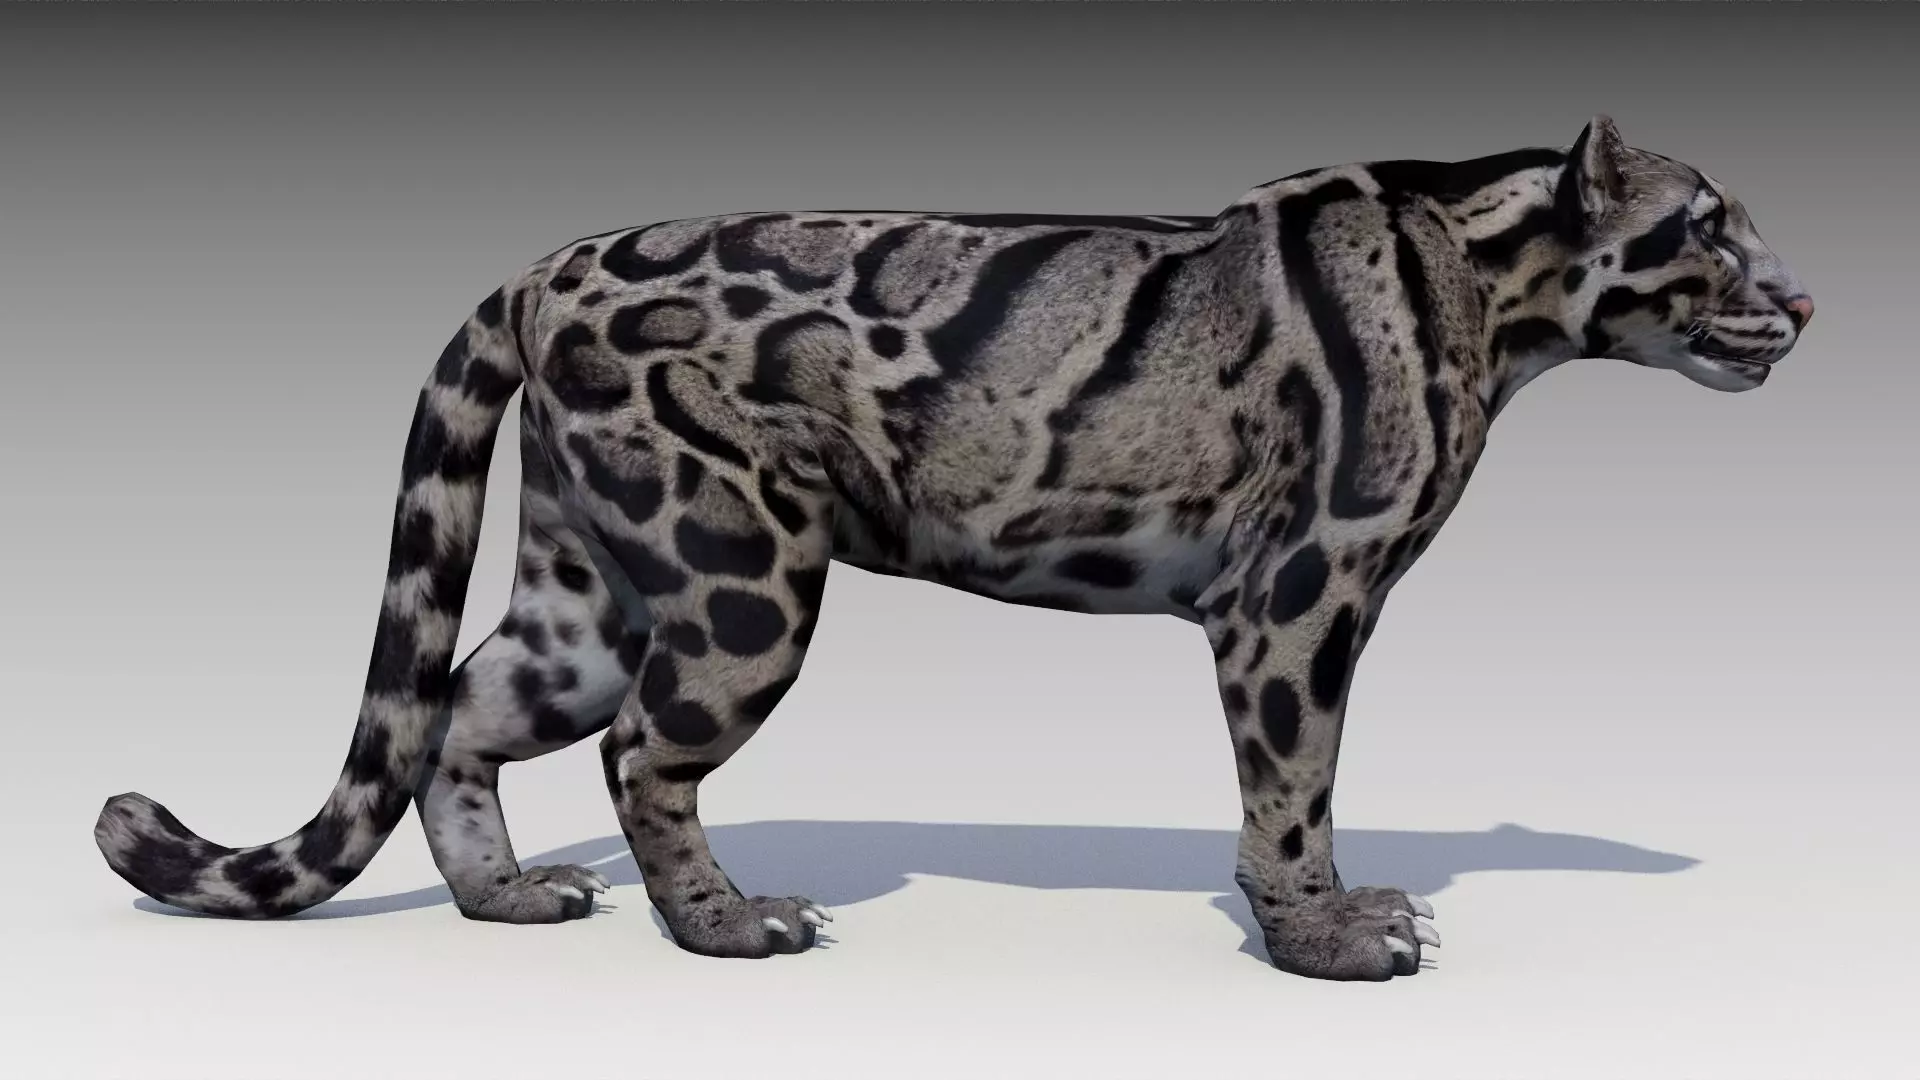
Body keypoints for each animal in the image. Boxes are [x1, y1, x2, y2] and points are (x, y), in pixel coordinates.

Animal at [94, 116, 1813, 981]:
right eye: (1710, 229)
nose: (1802, 300)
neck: (1506, 298)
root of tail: (538, 267)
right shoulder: (1297, 597)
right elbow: (1297, 783)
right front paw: (1323, 936)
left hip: (589, 581)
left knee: (460, 703)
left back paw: (506, 903)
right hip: (738, 579)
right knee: (640, 750)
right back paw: (729, 927)